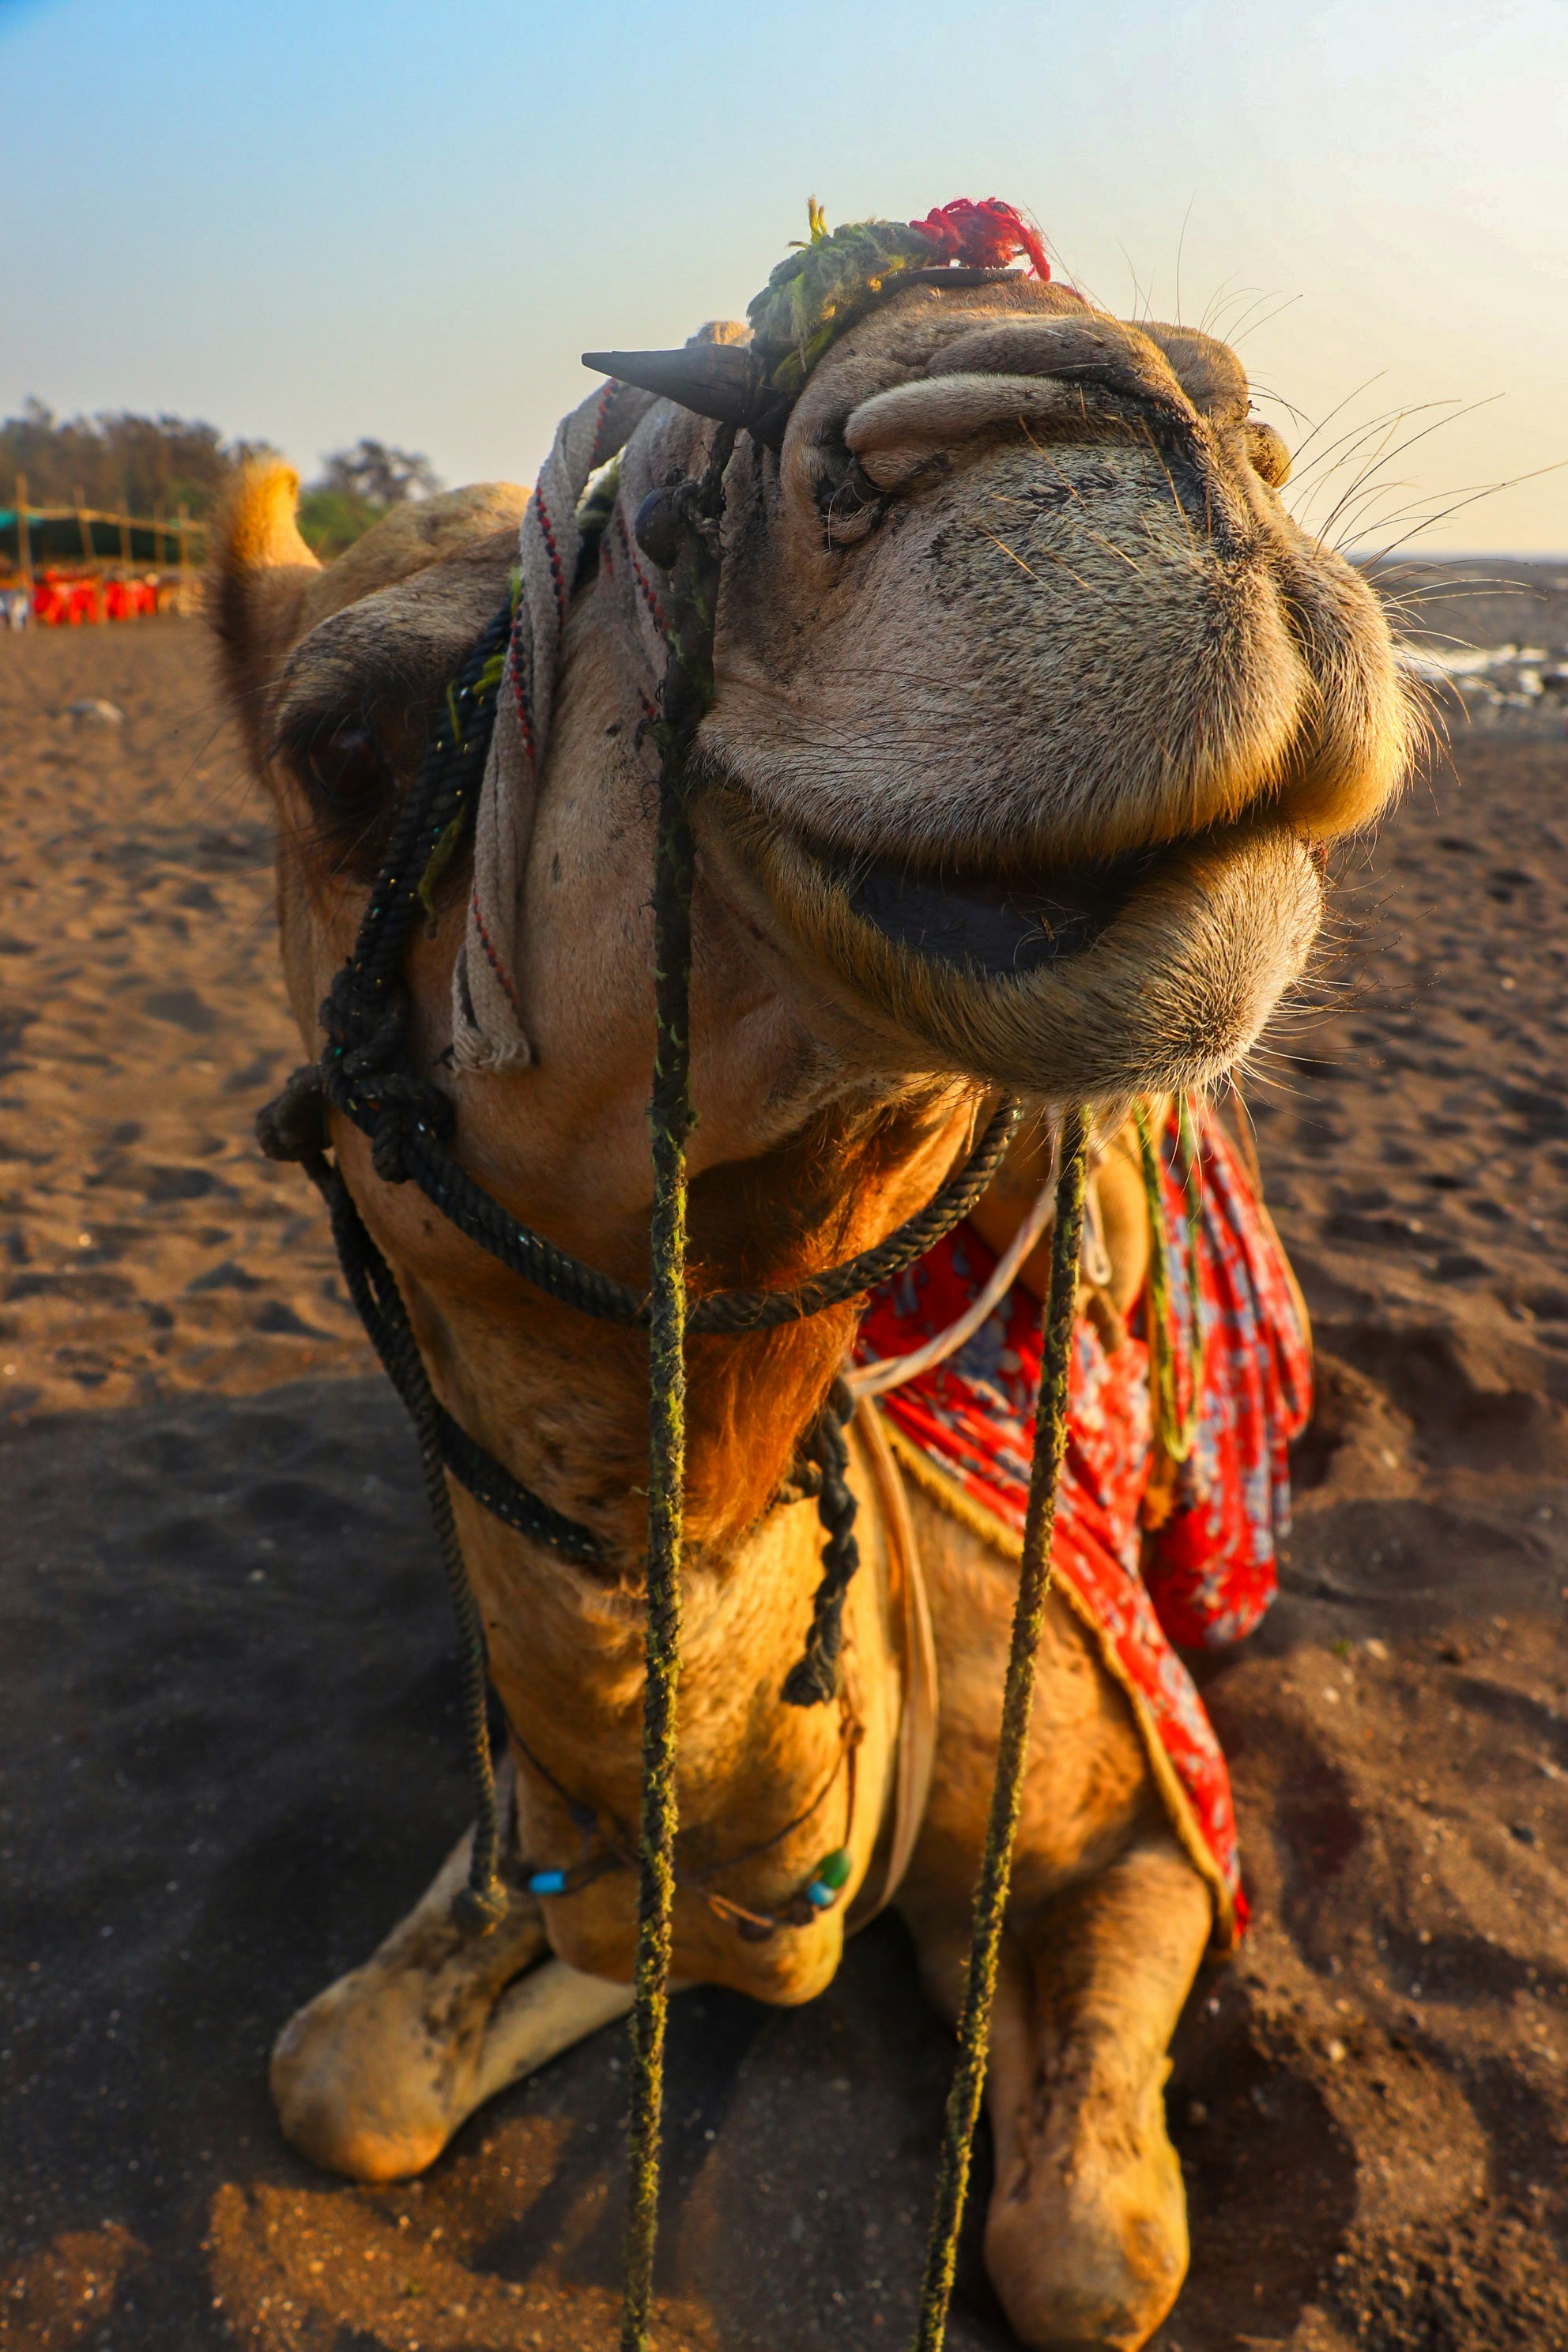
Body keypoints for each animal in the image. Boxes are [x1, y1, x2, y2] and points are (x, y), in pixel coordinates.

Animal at [211, 215, 1414, 2350]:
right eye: (337, 745)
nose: (1166, 408)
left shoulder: (1144, 1813)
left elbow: (1085, 2251)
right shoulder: (563, 1832)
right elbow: (347, 2079)